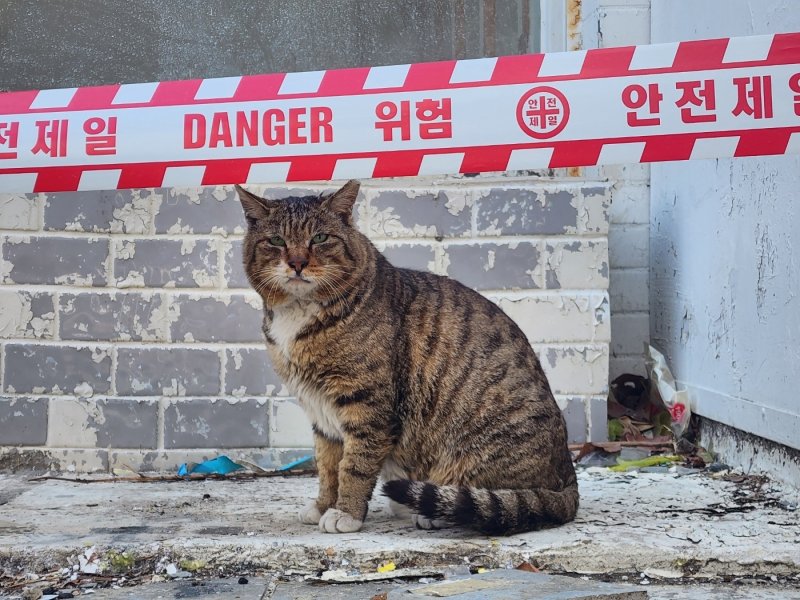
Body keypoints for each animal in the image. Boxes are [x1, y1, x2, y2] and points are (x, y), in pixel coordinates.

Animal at [234, 179, 580, 536]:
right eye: (276, 240)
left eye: (320, 238)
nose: (298, 263)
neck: (301, 313)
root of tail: (568, 477)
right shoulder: (322, 416)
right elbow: (328, 468)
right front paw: (323, 505)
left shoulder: (367, 405)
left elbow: (354, 466)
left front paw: (347, 512)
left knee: (496, 499)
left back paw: (435, 510)